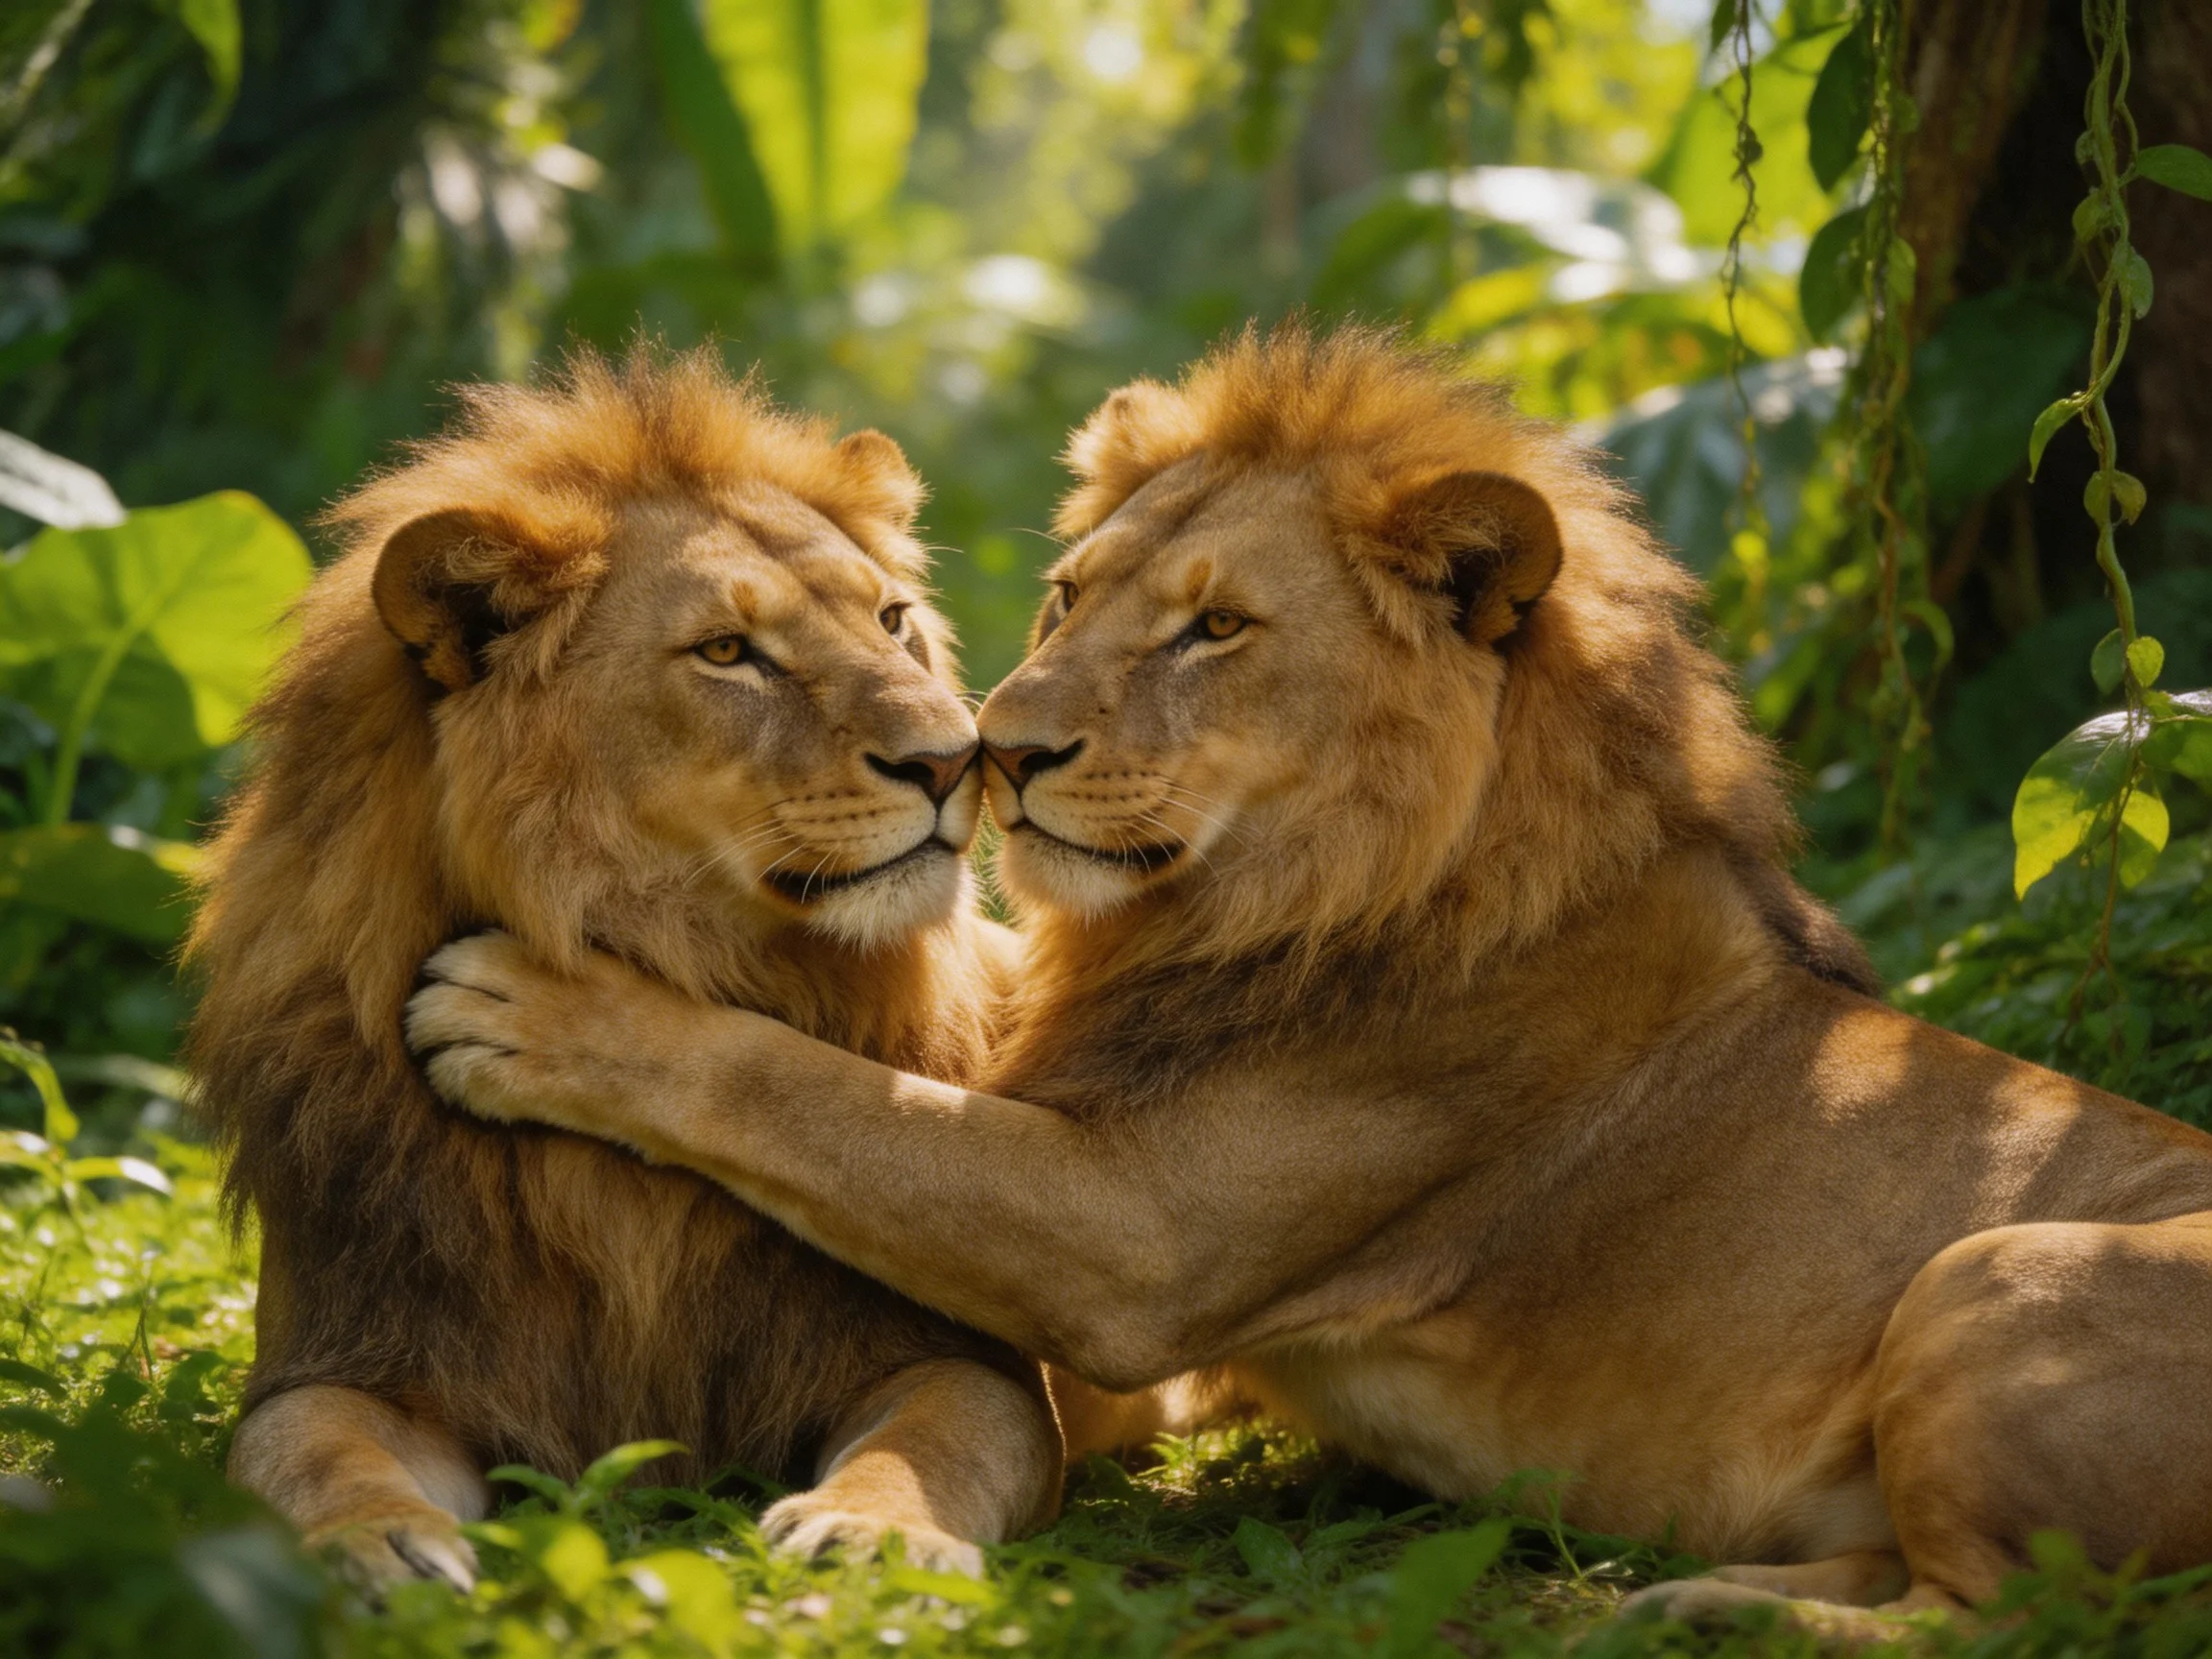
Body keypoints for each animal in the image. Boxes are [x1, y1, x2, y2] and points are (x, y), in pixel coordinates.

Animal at [185, 347, 1061, 1589]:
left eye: (894, 622)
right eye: (729, 653)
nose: (958, 761)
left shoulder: (961, 1362)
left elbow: (932, 1446)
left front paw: (873, 1534)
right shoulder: (356, 1351)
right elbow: (306, 1452)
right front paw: (372, 1545)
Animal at [405, 325, 2212, 1636]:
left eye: (1215, 631)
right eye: (1064, 598)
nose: (994, 752)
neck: (1262, 901)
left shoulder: (1137, 1246)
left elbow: (823, 1095)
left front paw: (536, 1011)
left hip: (1996, 1269)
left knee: (2010, 1614)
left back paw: (1715, 1618)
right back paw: (1692, 1586)